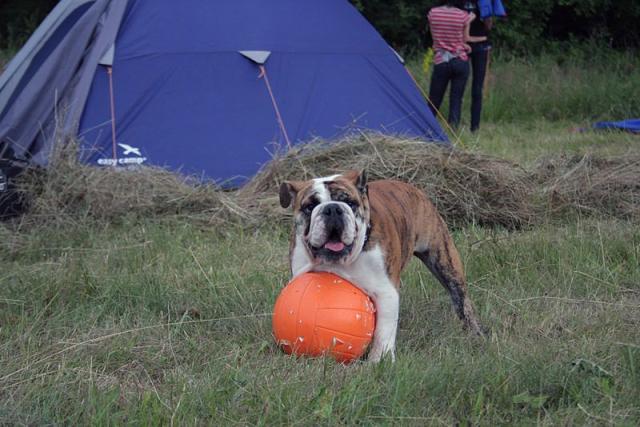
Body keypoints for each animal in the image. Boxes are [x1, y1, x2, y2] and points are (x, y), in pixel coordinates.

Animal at [279, 170, 484, 362]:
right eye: (310, 206)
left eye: (350, 203)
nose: (332, 209)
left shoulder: (385, 292)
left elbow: (383, 331)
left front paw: (379, 360)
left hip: (444, 259)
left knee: (461, 299)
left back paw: (476, 334)